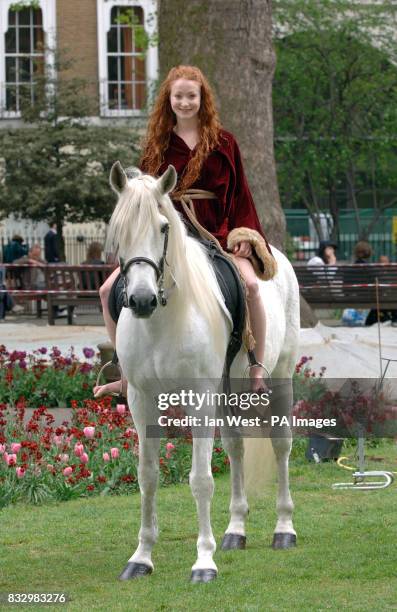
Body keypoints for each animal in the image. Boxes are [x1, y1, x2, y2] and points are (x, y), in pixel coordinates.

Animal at [106, 161, 298, 584]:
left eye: (163, 227)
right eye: (118, 227)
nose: (141, 300)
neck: (163, 320)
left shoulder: (199, 399)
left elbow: (201, 479)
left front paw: (204, 562)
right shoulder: (142, 400)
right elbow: (148, 476)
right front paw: (141, 557)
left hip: (279, 379)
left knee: (281, 446)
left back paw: (284, 529)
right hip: (226, 394)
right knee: (236, 448)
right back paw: (236, 530)